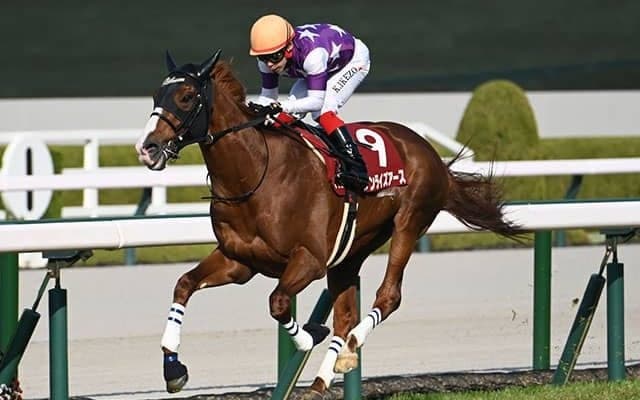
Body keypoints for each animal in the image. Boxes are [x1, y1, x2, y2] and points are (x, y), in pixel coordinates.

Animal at [135, 50, 523, 398]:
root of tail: (431, 154)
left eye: (186, 97)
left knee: (388, 296)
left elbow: (278, 302)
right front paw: (173, 368)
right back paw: (323, 379)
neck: (255, 175)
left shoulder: (310, 259)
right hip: (351, 250)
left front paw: (310, 334)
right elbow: (184, 285)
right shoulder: (239, 261)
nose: (147, 148)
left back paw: (350, 346)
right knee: (346, 315)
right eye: (155, 96)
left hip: (409, 224)